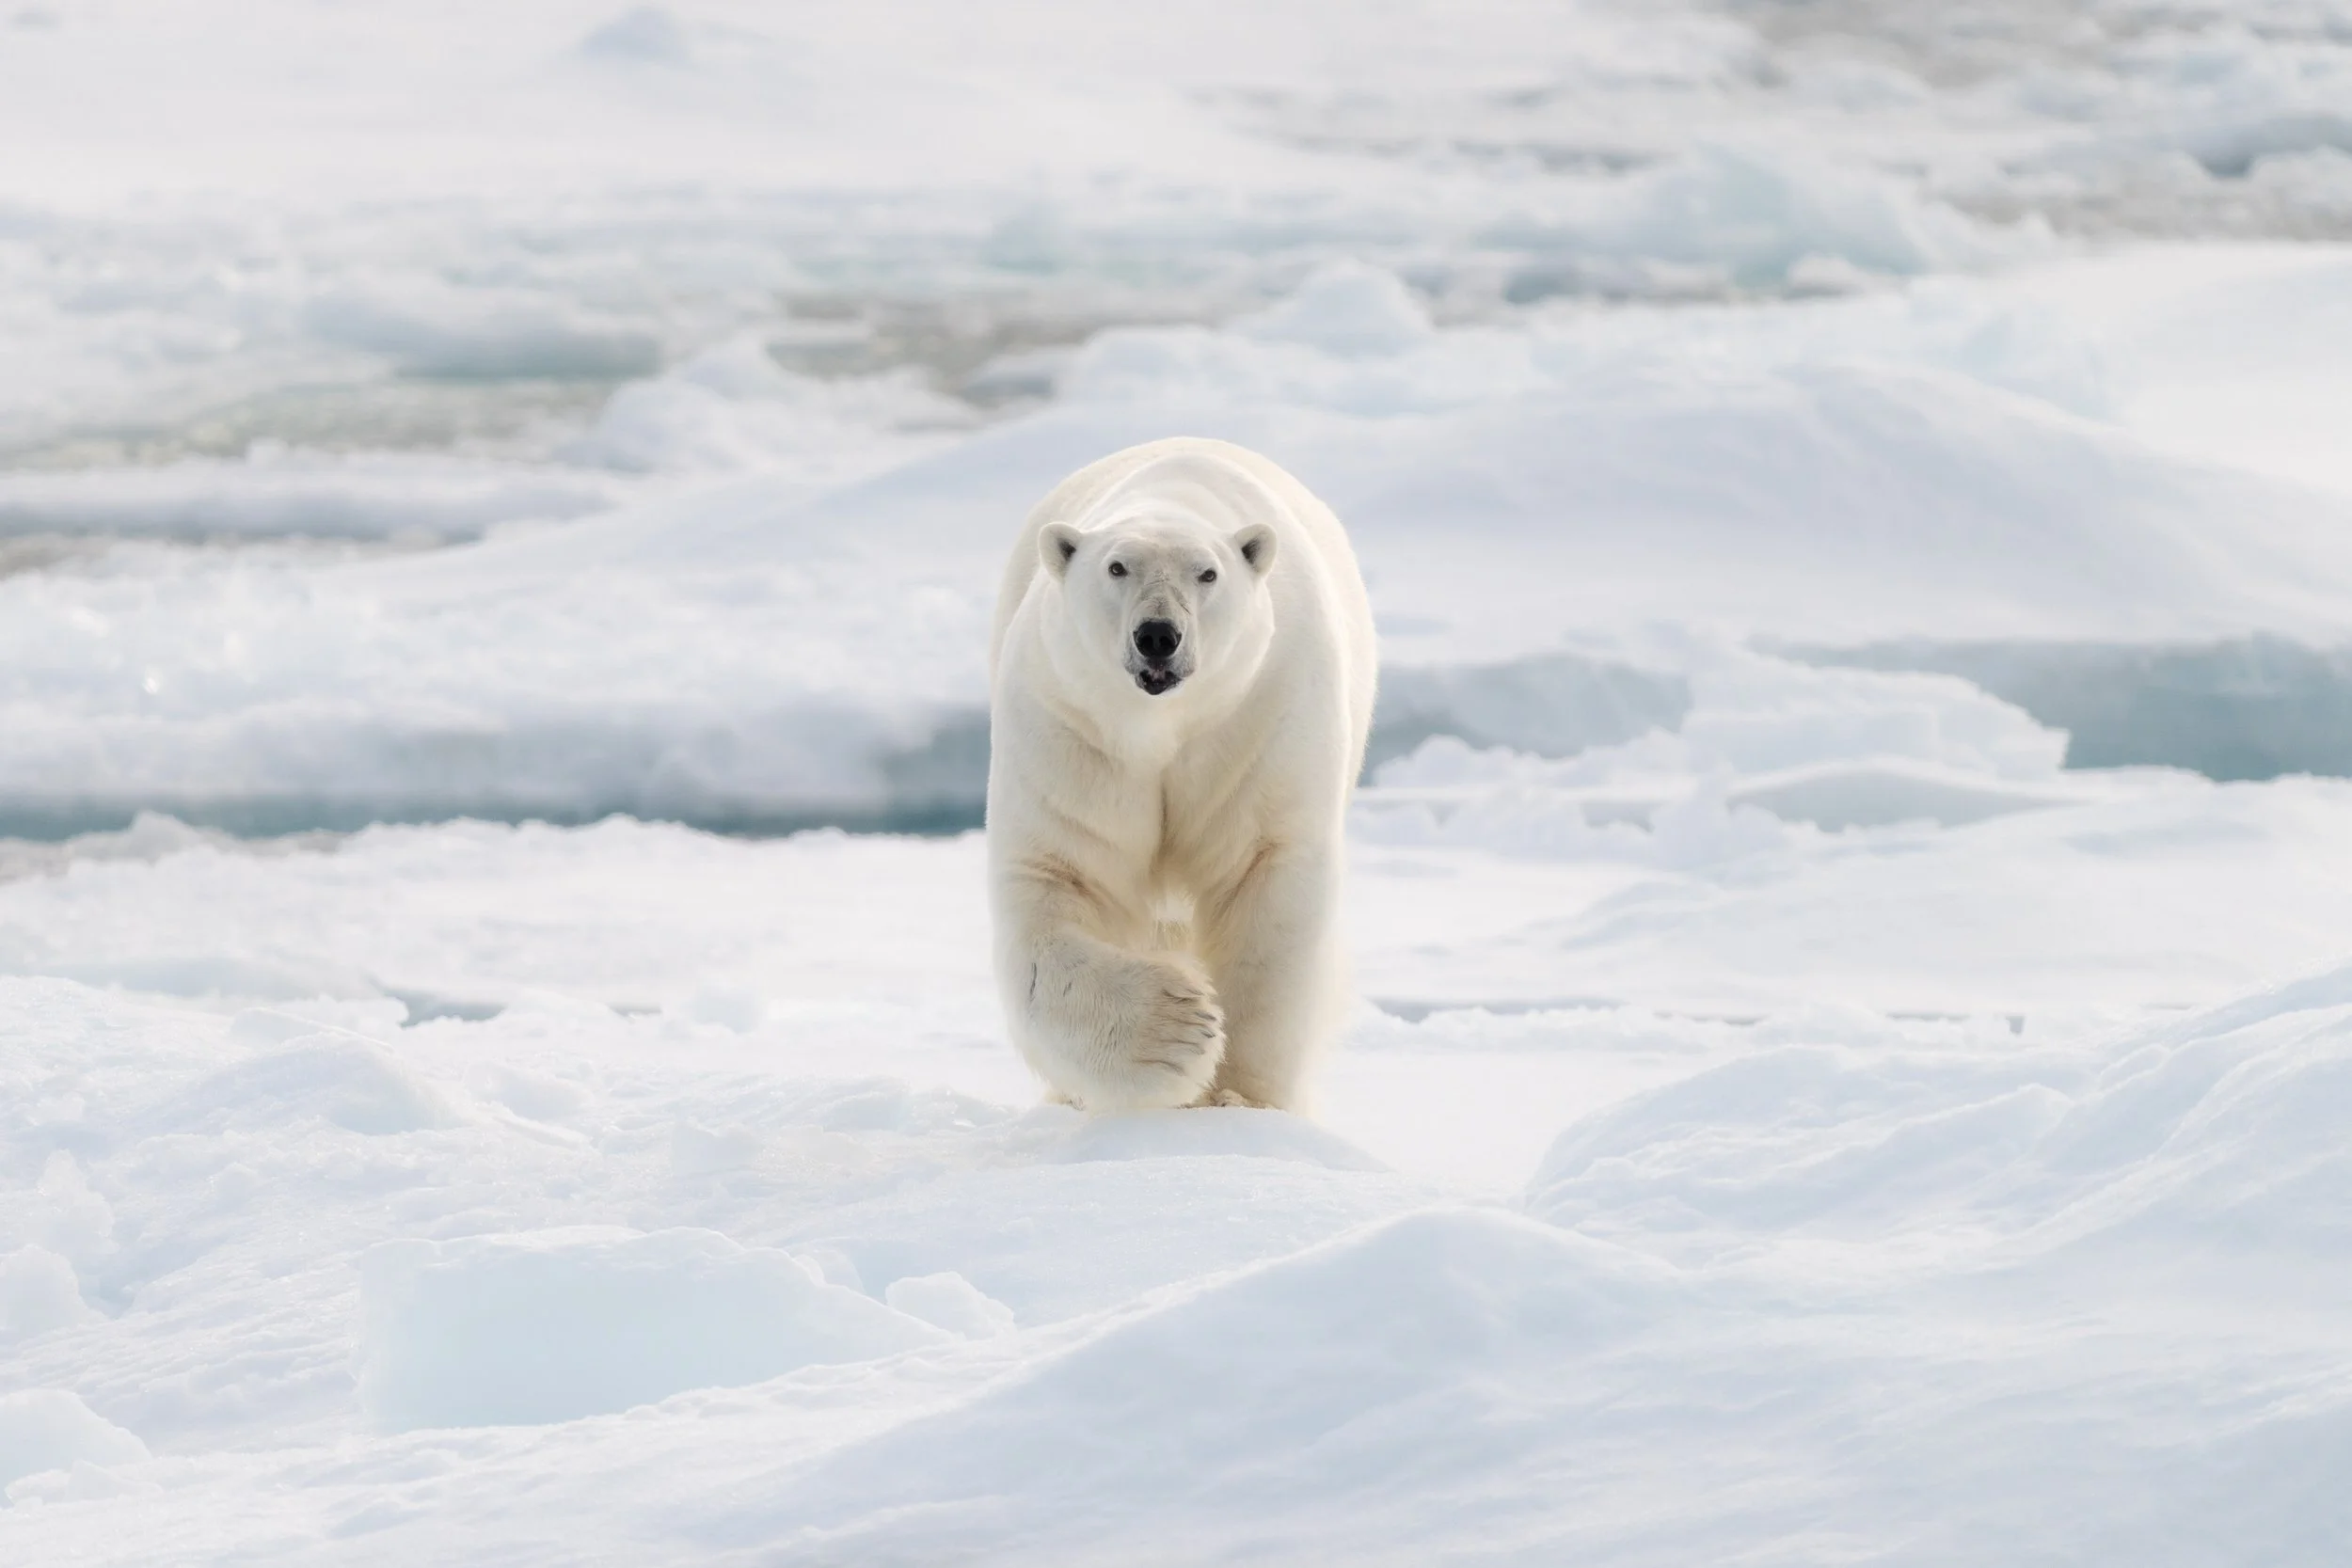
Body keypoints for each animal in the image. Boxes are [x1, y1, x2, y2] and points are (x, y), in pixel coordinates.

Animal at [986, 437, 1377, 1113]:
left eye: (1208, 572)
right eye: (1116, 567)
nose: (1158, 636)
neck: (1160, 725)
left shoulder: (1261, 713)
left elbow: (1263, 877)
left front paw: (1238, 1096)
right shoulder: (1070, 726)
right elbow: (1061, 875)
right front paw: (1179, 1031)